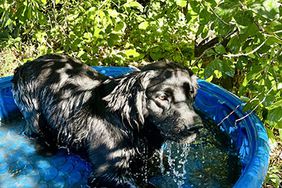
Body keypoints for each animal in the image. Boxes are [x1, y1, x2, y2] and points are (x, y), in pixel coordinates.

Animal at [12, 53, 203, 187]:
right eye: (162, 97)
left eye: (191, 93)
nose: (196, 127)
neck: (129, 125)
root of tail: (26, 64)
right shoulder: (107, 173)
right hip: (33, 114)